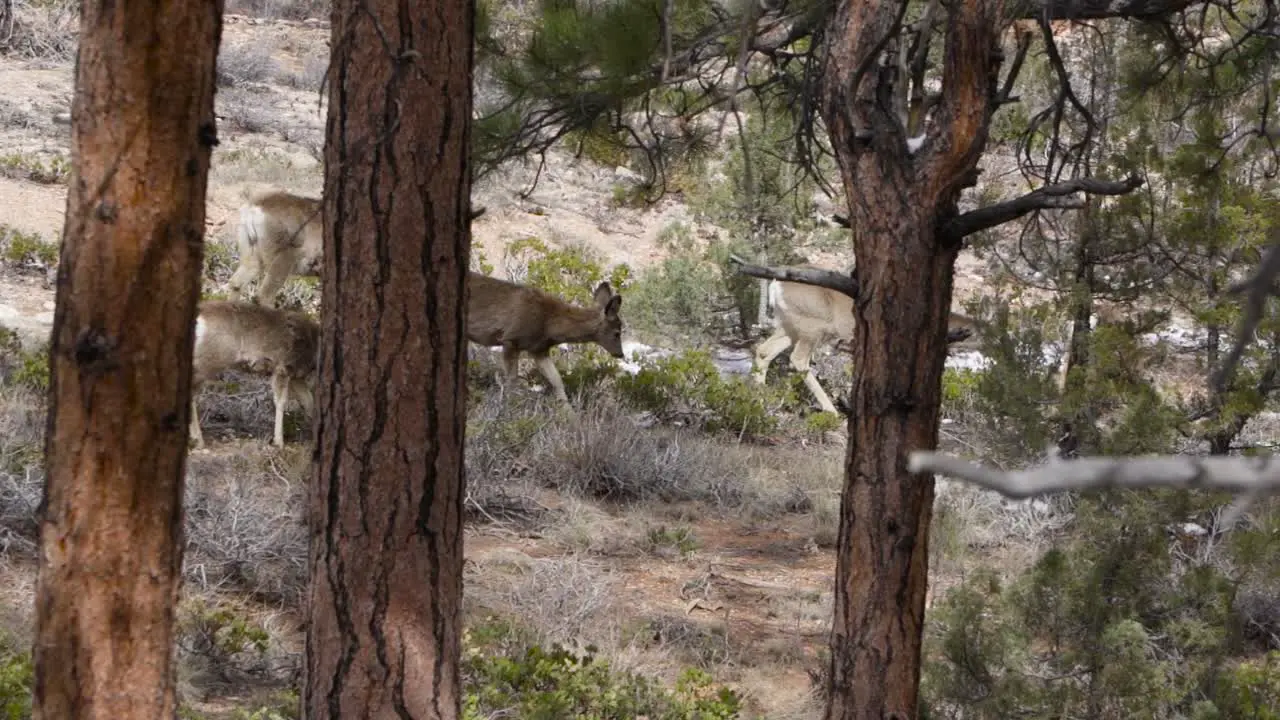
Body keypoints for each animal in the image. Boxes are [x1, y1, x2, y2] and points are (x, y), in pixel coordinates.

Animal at [189, 295, 322, 443]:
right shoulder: (283, 367)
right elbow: (281, 402)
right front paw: (279, 441)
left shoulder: (296, 376)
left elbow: (309, 402)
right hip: (211, 358)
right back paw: (198, 439)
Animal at [468, 270, 627, 404]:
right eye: (617, 333)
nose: (620, 354)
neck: (548, 324)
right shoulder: (510, 338)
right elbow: (512, 380)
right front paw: (510, 406)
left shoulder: (539, 349)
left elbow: (557, 380)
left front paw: (569, 415)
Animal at [747, 279, 977, 417]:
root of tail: (776, 285)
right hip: (812, 327)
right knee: (798, 360)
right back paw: (832, 410)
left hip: (790, 326)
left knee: (764, 350)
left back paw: (760, 400)